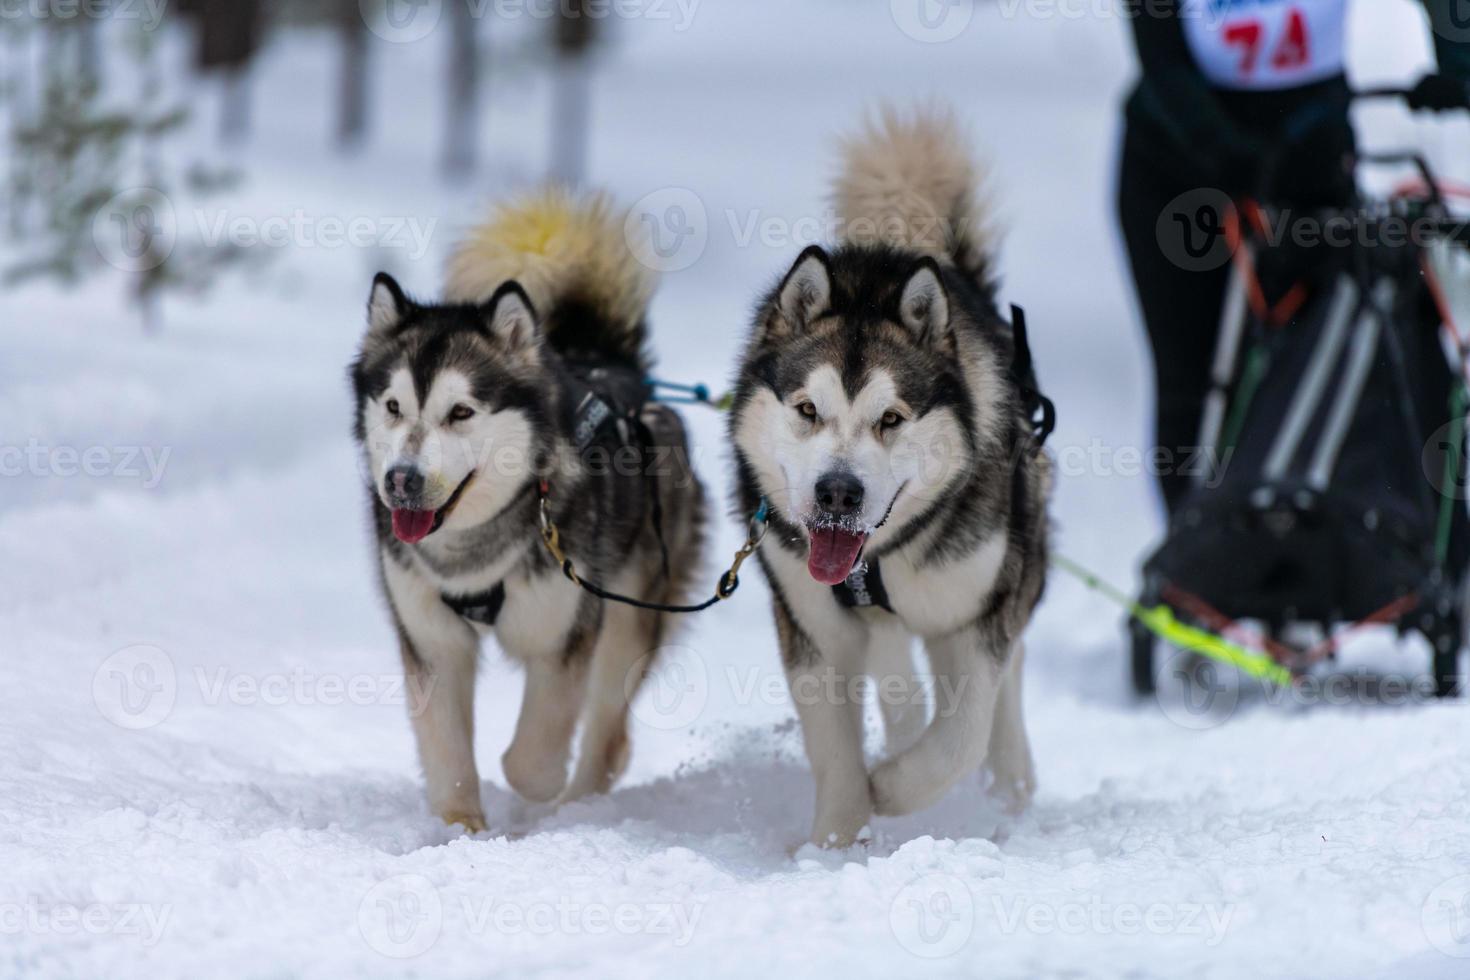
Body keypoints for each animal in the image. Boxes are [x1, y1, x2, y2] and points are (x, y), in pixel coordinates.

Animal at [352, 189, 702, 828]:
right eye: (392, 406)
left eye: (460, 412)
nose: (402, 481)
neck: (473, 550)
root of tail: (607, 361)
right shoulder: (432, 638)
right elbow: (446, 749)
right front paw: (462, 826)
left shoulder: (562, 632)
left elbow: (531, 760)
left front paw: (535, 795)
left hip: (631, 608)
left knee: (609, 730)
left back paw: (576, 804)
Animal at [729, 105, 1052, 846]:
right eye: (808, 410)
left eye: (891, 419)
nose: (838, 493)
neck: (875, 561)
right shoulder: (813, 623)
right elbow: (834, 746)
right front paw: (835, 843)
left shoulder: (976, 611)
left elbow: (961, 732)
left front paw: (896, 788)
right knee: (896, 673)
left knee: (1008, 676)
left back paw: (1010, 782)